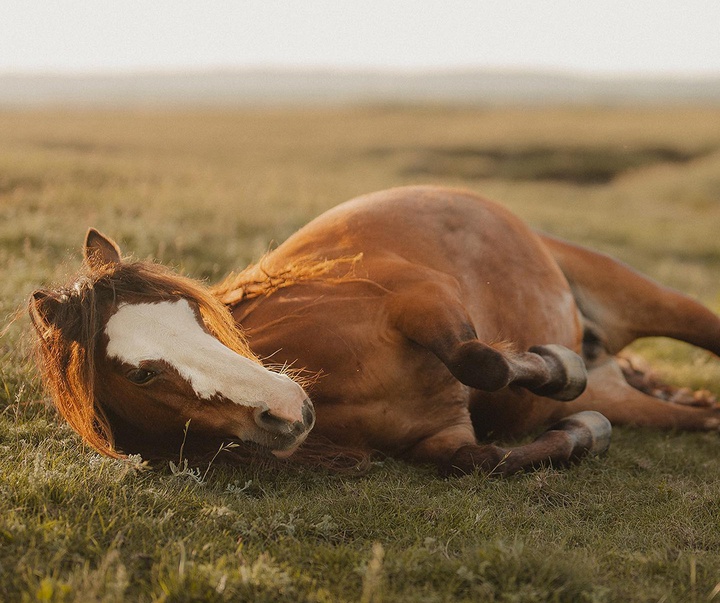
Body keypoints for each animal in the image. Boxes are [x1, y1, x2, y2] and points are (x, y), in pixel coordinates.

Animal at [28, 185, 720, 476]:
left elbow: (481, 360)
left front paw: (556, 369)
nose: (287, 409)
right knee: (691, 415)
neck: (336, 387)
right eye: (142, 373)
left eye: (197, 313)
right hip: (634, 398)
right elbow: (480, 460)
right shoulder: (441, 438)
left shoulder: (421, 298)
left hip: (641, 293)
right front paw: (582, 432)